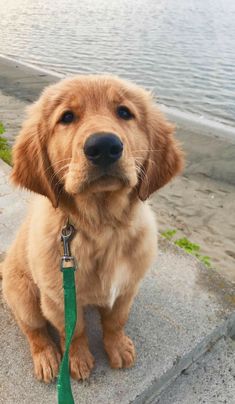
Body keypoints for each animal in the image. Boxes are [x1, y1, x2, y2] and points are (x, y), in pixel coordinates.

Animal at [1, 75, 184, 382]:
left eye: (124, 112)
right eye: (67, 117)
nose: (104, 146)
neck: (103, 228)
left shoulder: (126, 288)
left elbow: (115, 320)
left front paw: (118, 347)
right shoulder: (57, 298)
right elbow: (74, 331)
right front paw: (77, 359)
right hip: (22, 294)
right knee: (34, 329)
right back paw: (47, 358)